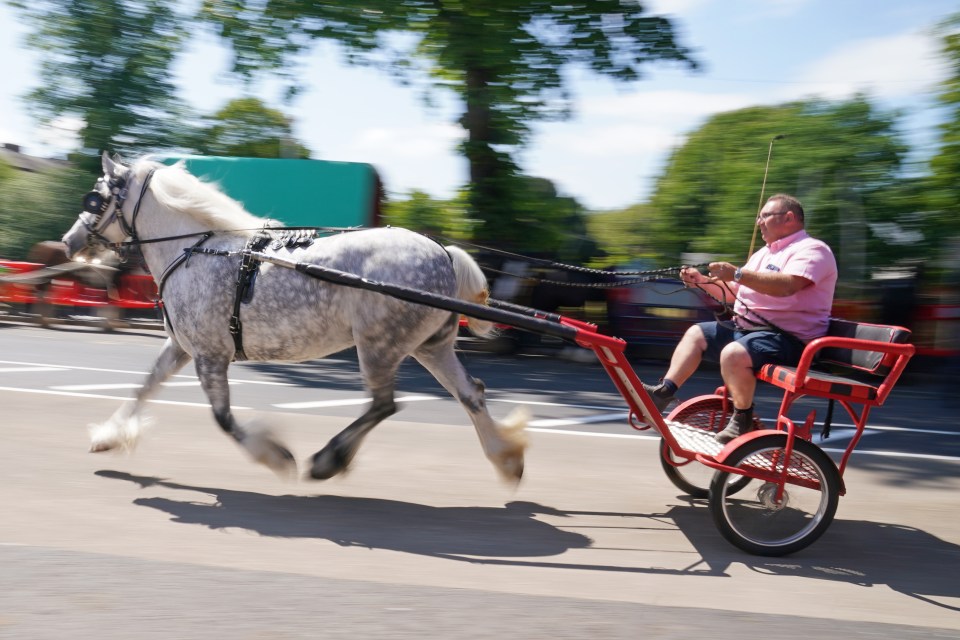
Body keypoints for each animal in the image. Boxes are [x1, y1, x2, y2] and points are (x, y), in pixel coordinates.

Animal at [62, 154, 524, 480]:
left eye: (95, 197)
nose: (69, 240)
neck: (196, 248)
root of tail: (443, 254)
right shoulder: (181, 347)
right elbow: (144, 386)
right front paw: (107, 436)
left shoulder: (210, 356)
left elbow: (223, 419)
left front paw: (274, 456)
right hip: (430, 347)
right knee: (470, 393)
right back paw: (506, 459)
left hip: (379, 347)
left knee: (383, 405)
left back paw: (327, 460)